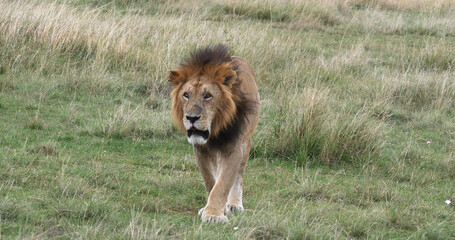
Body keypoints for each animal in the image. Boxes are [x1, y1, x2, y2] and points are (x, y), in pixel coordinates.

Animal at [168, 45, 262, 223]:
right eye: (186, 95)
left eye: (208, 96)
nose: (191, 118)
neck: (215, 130)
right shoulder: (200, 150)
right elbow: (211, 180)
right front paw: (217, 210)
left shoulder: (233, 148)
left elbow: (224, 183)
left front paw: (213, 215)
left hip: (246, 143)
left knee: (238, 176)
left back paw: (235, 204)